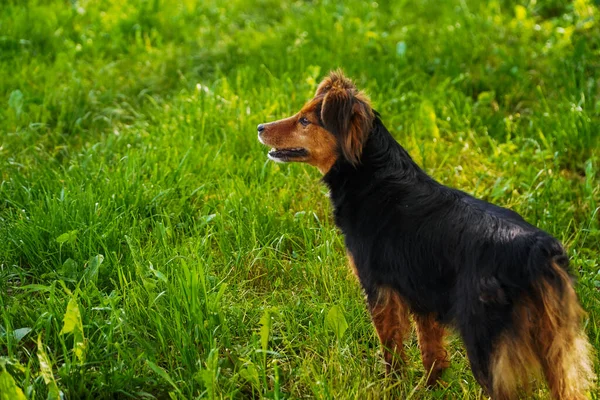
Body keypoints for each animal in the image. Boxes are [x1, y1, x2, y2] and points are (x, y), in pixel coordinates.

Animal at [258, 70, 596, 398]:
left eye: (305, 121)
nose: (260, 126)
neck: (372, 176)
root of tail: (538, 251)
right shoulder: (423, 295)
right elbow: (431, 351)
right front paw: (430, 388)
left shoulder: (380, 290)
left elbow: (392, 350)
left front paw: (392, 388)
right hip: (555, 347)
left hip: (488, 345)